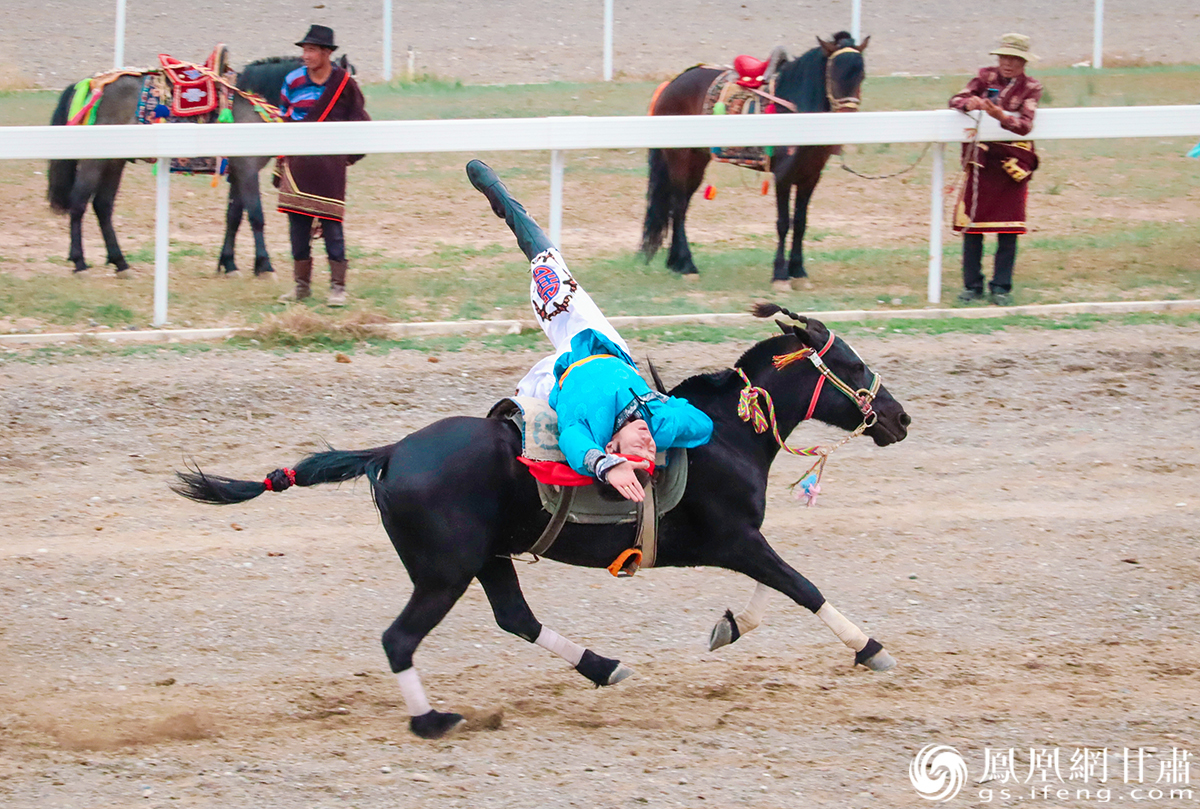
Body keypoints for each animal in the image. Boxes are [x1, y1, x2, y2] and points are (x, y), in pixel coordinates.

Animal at [45, 54, 348, 273]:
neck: (253, 101)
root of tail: (90, 83)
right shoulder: (247, 169)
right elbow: (256, 217)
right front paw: (264, 265)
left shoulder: (237, 172)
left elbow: (234, 217)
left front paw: (228, 263)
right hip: (95, 161)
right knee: (79, 204)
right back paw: (80, 261)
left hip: (114, 162)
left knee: (102, 206)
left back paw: (120, 262)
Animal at [174, 306, 907, 739]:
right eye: (851, 363)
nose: (899, 417)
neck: (724, 433)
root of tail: (389, 452)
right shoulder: (735, 537)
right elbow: (801, 585)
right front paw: (871, 647)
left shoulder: (739, 542)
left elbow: (775, 588)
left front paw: (730, 625)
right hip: (444, 573)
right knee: (399, 638)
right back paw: (433, 720)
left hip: (487, 559)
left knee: (515, 619)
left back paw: (603, 665)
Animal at [643, 32, 868, 290]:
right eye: (832, 74)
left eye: (862, 75)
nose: (848, 119)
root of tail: (672, 84)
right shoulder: (783, 176)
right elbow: (784, 223)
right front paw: (780, 275)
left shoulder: (810, 177)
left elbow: (801, 223)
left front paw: (798, 272)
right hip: (681, 158)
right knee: (679, 208)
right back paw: (688, 266)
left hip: (696, 163)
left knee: (677, 207)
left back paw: (676, 264)